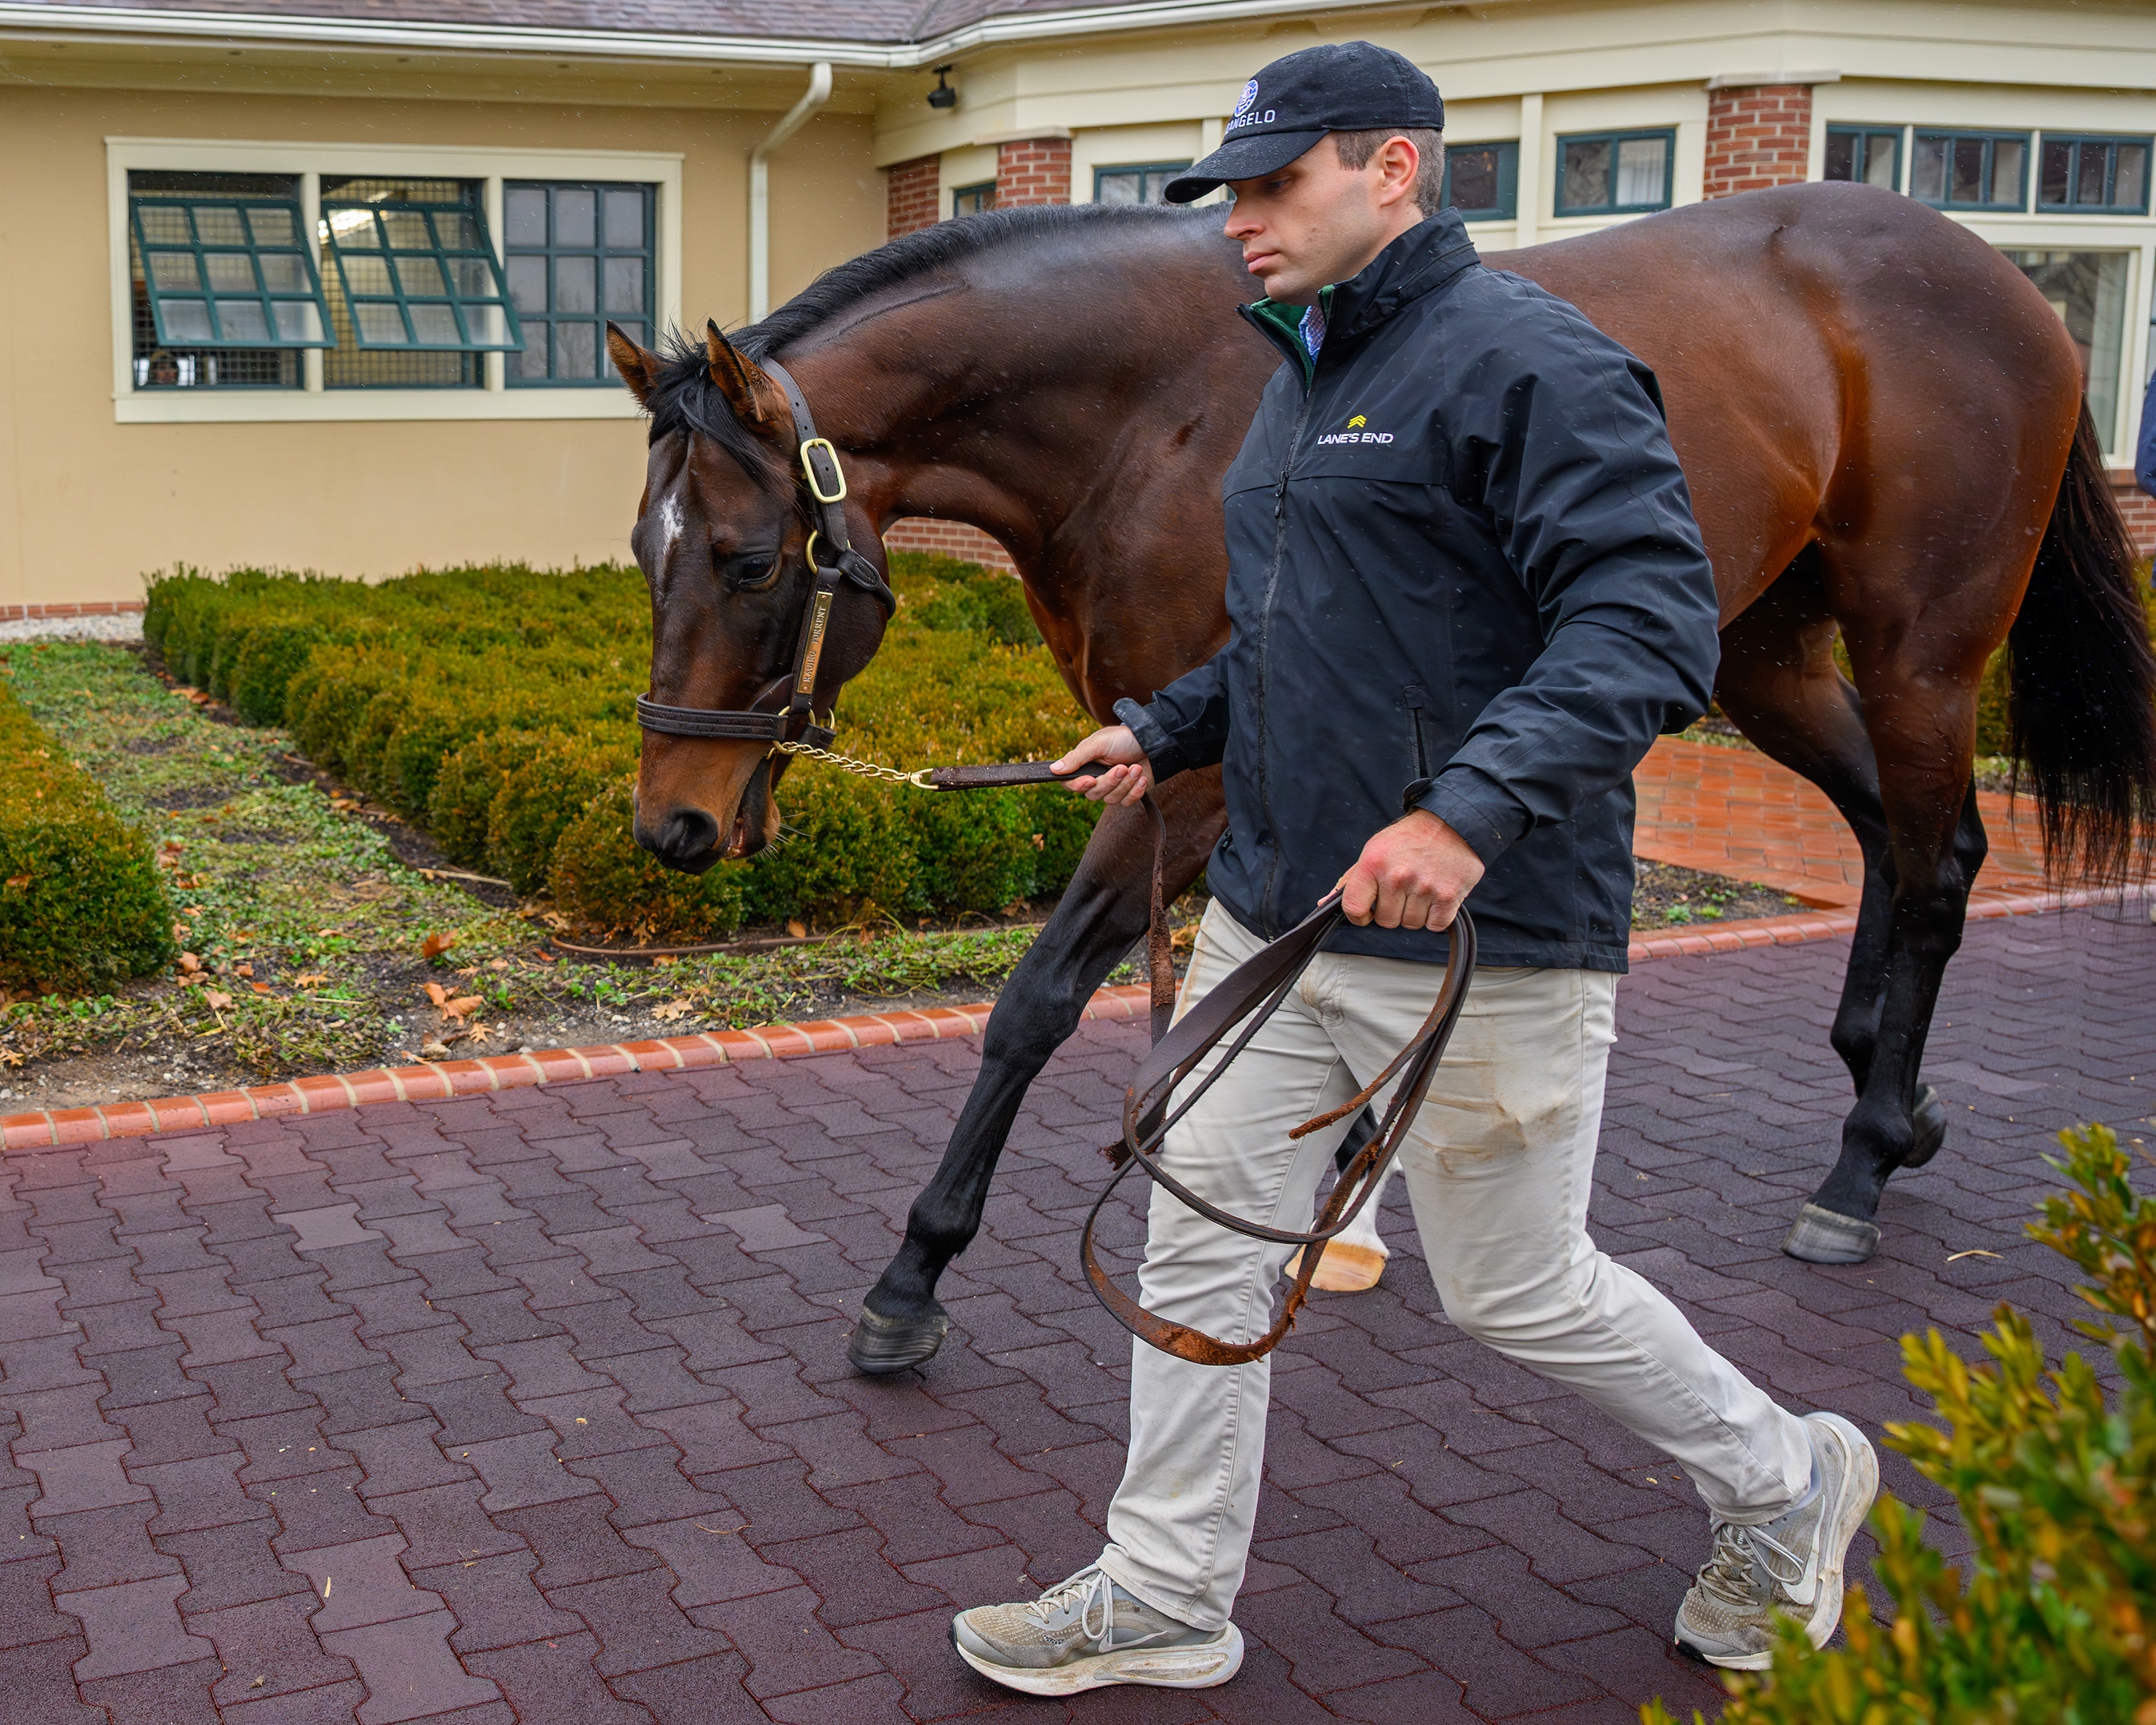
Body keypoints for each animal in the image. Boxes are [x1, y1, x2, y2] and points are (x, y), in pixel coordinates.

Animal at [603, 182, 2155, 1375]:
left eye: (748, 560)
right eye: (640, 552)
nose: (672, 823)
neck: (1150, 411)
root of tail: (2013, 288)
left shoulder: (1201, 776)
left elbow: (1038, 1000)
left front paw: (913, 1279)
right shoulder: (1186, 748)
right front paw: (1324, 1196)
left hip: (1920, 657)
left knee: (1939, 857)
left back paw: (1860, 1161)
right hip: (1761, 655)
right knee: (1889, 836)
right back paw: (1888, 1094)